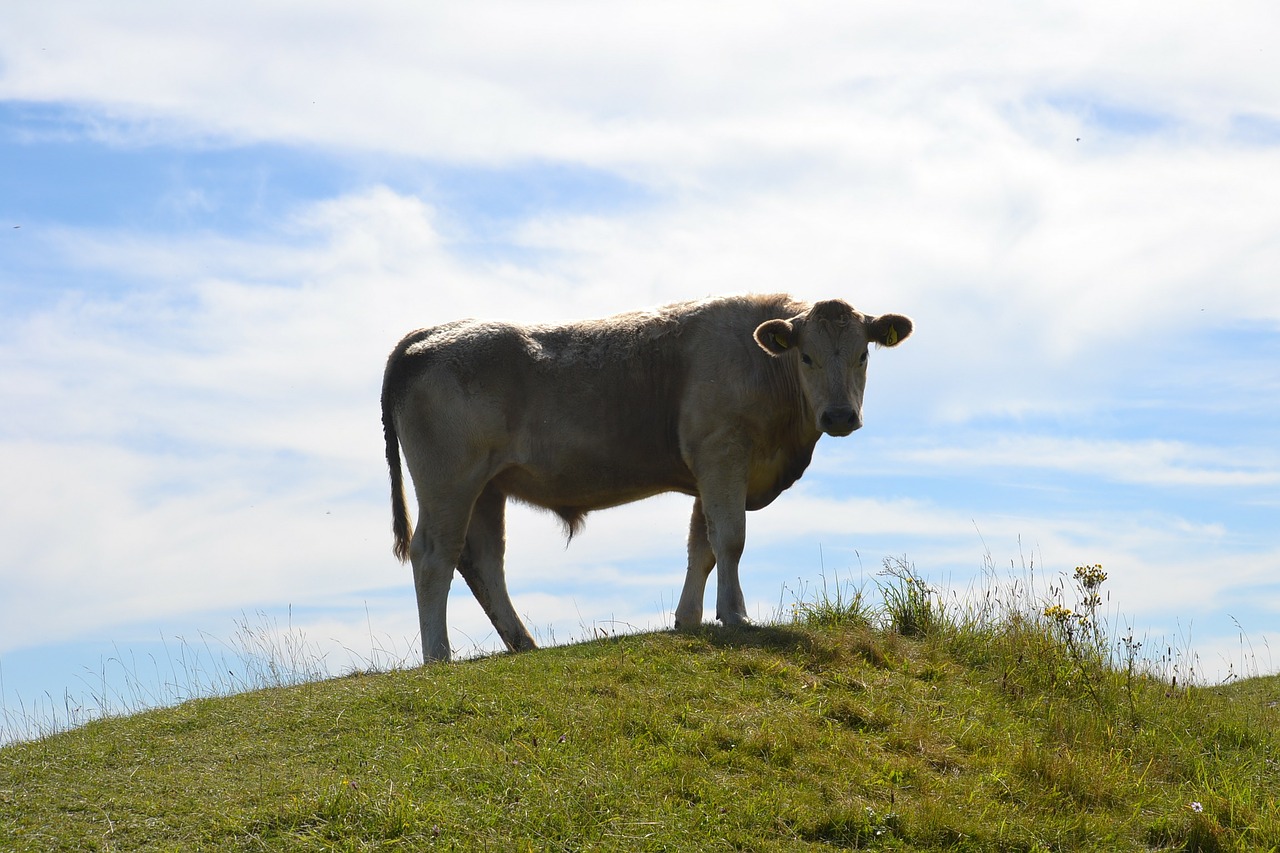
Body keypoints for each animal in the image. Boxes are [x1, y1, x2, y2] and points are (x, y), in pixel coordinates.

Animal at [378, 292, 911, 655]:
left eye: (863, 354)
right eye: (806, 356)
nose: (839, 415)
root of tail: (427, 335)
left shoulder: (710, 471)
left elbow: (702, 547)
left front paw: (689, 619)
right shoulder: (722, 453)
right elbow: (730, 539)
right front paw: (735, 615)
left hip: (488, 487)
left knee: (484, 561)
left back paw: (523, 643)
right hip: (449, 482)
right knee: (435, 555)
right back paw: (439, 656)